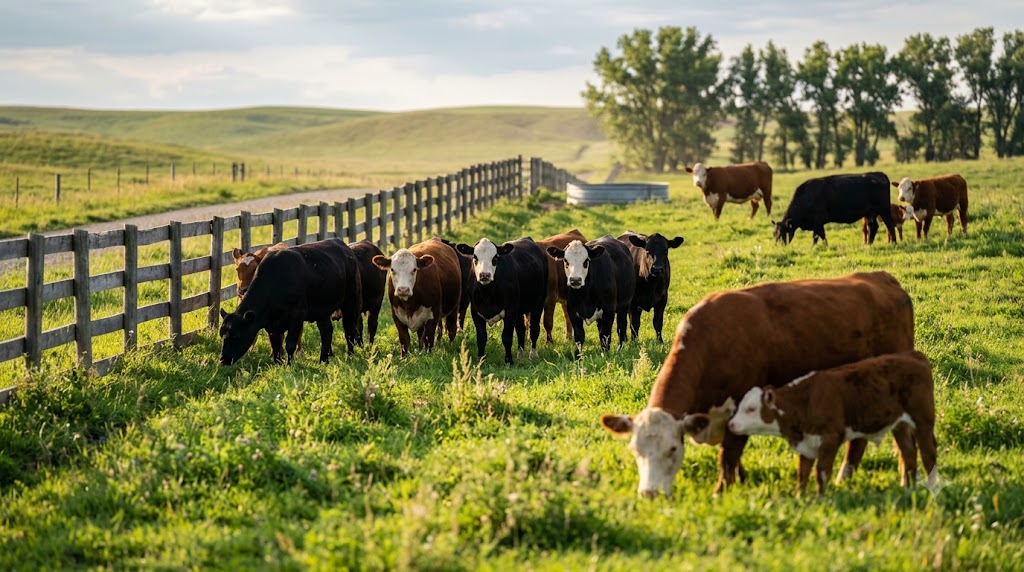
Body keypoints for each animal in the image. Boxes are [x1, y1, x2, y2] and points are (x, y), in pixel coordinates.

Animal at [219, 238, 362, 366]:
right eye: (222, 335)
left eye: (236, 336)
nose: (223, 359)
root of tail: (343, 246)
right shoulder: (272, 325)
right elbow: (276, 345)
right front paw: (278, 364)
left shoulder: (296, 317)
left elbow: (290, 343)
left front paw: (289, 365)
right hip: (322, 311)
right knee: (326, 332)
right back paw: (323, 360)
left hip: (351, 301)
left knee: (349, 330)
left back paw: (350, 355)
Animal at [599, 271, 915, 498]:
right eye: (635, 451)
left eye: (673, 449)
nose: (649, 494)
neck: (711, 342)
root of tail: (884, 279)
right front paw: (741, 480)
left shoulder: (739, 407)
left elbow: (728, 455)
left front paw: (720, 492)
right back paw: (844, 478)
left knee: (903, 435)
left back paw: (905, 480)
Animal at [728, 351, 938, 496]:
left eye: (751, 409)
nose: (731, 424)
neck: (805, 400)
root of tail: (915, 355)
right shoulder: (807, 443)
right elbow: (802, 473)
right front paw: (799, 496)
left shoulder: (830, 438)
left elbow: (821, 472)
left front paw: (820, 497)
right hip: (900, 424)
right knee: (908, 452)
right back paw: (908, 487)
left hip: (923, 420)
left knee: (928, 453)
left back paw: (933, 486)